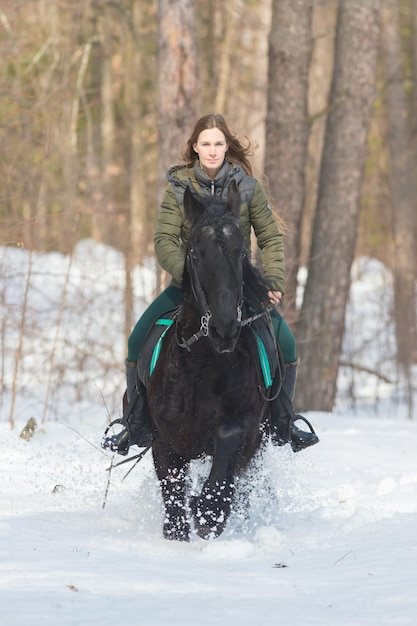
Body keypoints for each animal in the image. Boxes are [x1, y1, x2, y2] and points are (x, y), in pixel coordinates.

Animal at [146, 182, 276, 540]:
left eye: (240, 252)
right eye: (195, 253)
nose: (224, 328)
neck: (201, 366)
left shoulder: (248, 429)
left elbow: (228, 438)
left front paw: (208, 511)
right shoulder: (165, 440)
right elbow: (172, 493)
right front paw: (179, 530)